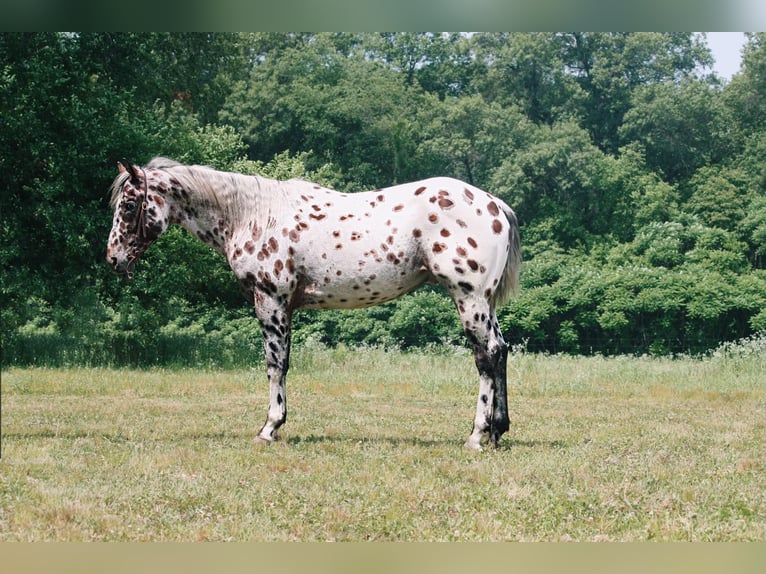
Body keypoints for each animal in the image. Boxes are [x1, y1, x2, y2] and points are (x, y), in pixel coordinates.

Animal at [106, 160, 520, 452]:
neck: (251, 215)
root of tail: (495, 205)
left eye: (129, 205)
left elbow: (276, 364)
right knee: (501, 351)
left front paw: (270, 427)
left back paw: (477, 435)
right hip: (483, 303)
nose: (113, 258)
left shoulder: (271, 300)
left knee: (486, 355)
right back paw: (498, 431)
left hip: (468, 298)